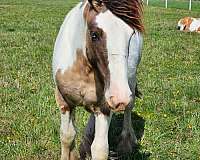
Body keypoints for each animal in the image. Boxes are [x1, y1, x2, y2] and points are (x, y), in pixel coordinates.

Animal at [52, 0, 144, 159]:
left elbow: (100, 149)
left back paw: (126, 143)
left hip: (130, 83)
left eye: (131, 34)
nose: (119, 97)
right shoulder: (64, 100)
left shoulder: (105, 106)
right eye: (94, 35)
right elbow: (67, 136)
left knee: (129, 108)